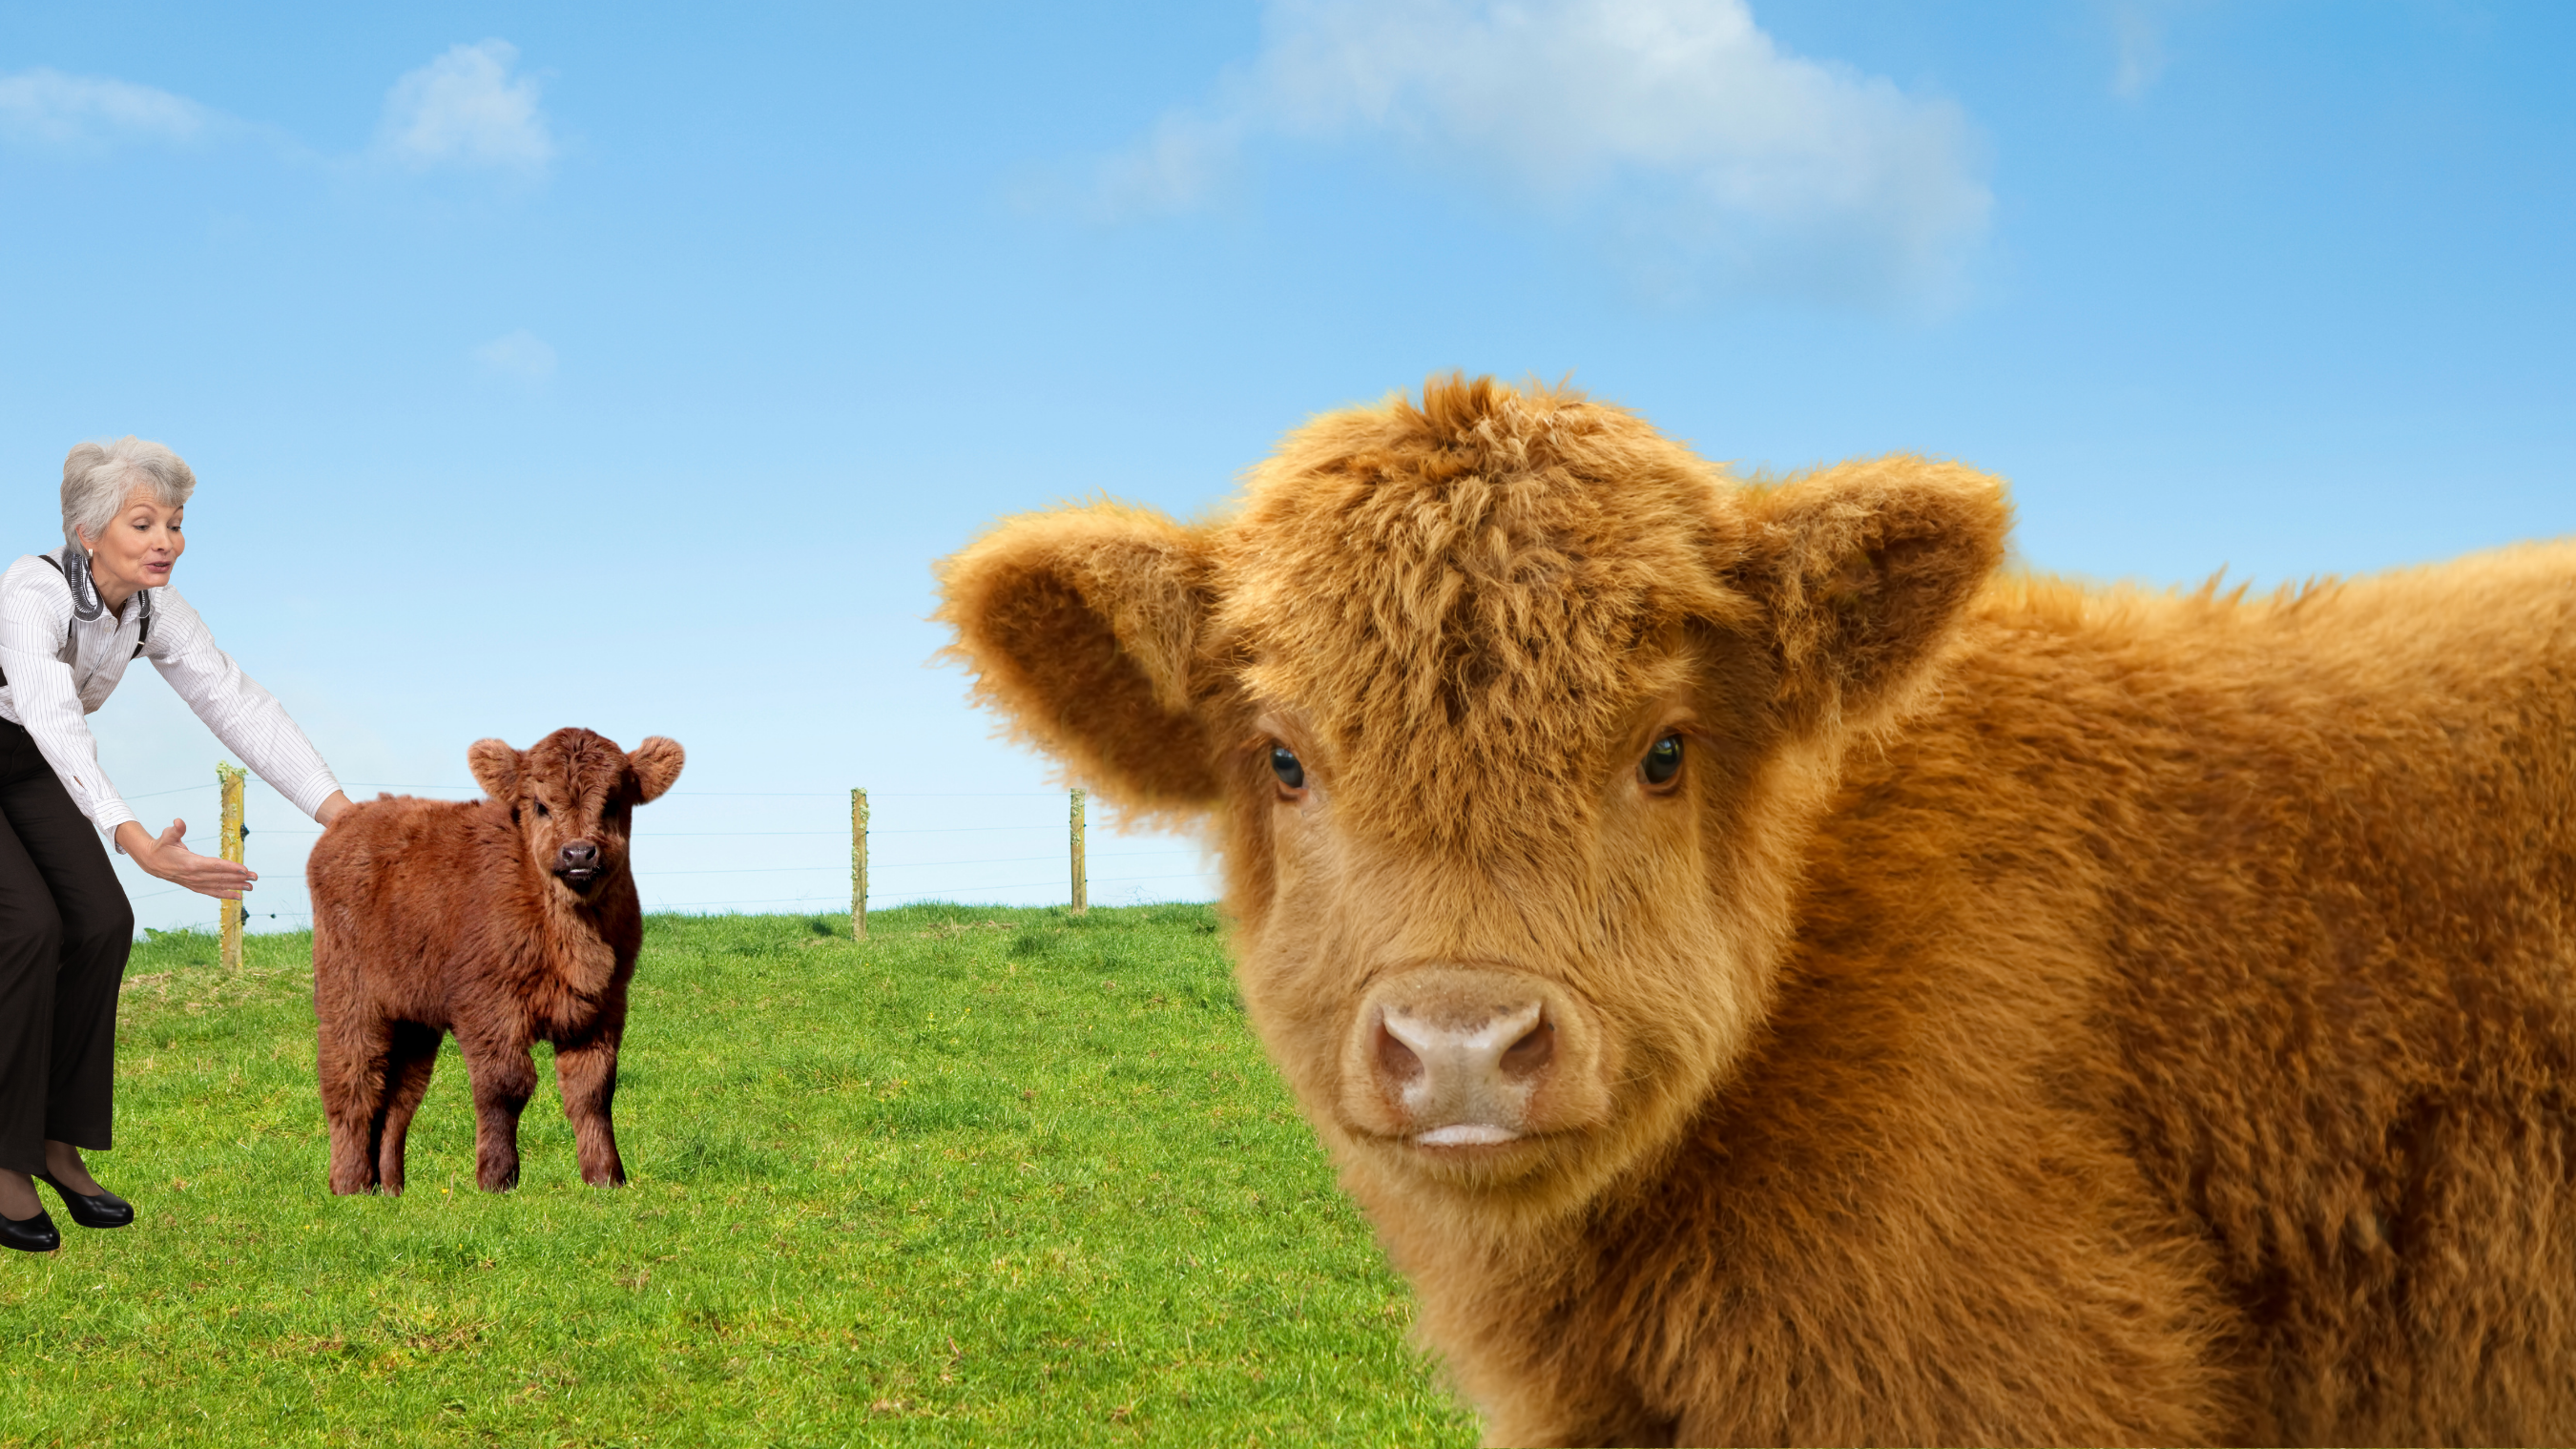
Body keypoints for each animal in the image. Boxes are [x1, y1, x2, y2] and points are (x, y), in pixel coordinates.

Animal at [307, 727, 683, 1195]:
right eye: (539, 805)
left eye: (613, 803)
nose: (579, 853)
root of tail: (355, 816)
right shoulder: (487, 1006)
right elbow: (505, 1085)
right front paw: (497, 1178)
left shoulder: (603, 1009)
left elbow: (593, 1090)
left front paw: (605, 1177)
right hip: (350, 998)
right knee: (351, 1082)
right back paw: (350, 1184)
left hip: (413, 1019)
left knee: (397, 1098)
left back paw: (390, 1188)